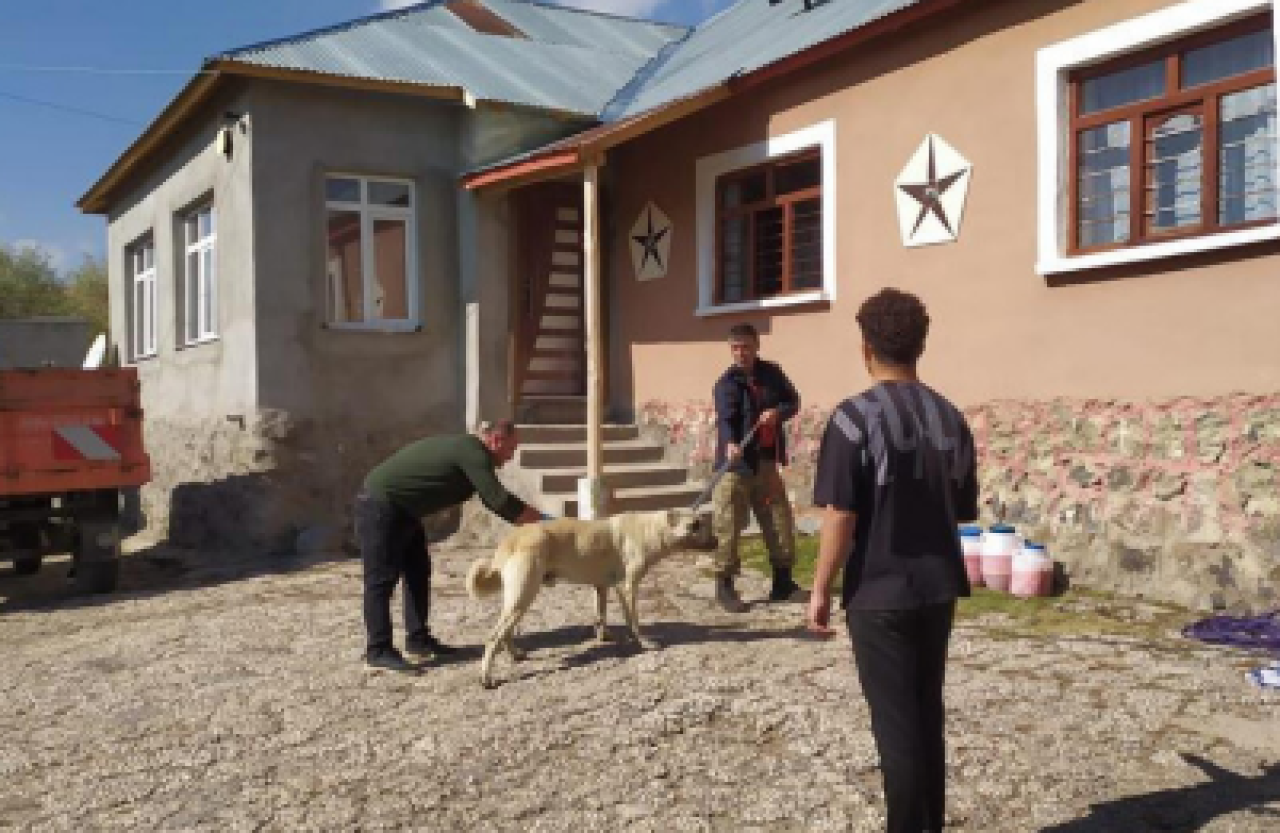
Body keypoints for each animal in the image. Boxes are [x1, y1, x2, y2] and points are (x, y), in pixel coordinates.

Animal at [465, 509, 716, 690]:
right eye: (695, 525)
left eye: (703, 523)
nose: (717, 541)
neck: (652, 528)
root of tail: (509, 539)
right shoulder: (627, 589)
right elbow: (633, 622)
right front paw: (644, 643)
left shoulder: (602, 587)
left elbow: (600, 616)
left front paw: (603, 636)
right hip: (524, 596)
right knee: (493, 637)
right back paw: (486, 678)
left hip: (519, 600)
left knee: (505, 633)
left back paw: (516, 655)